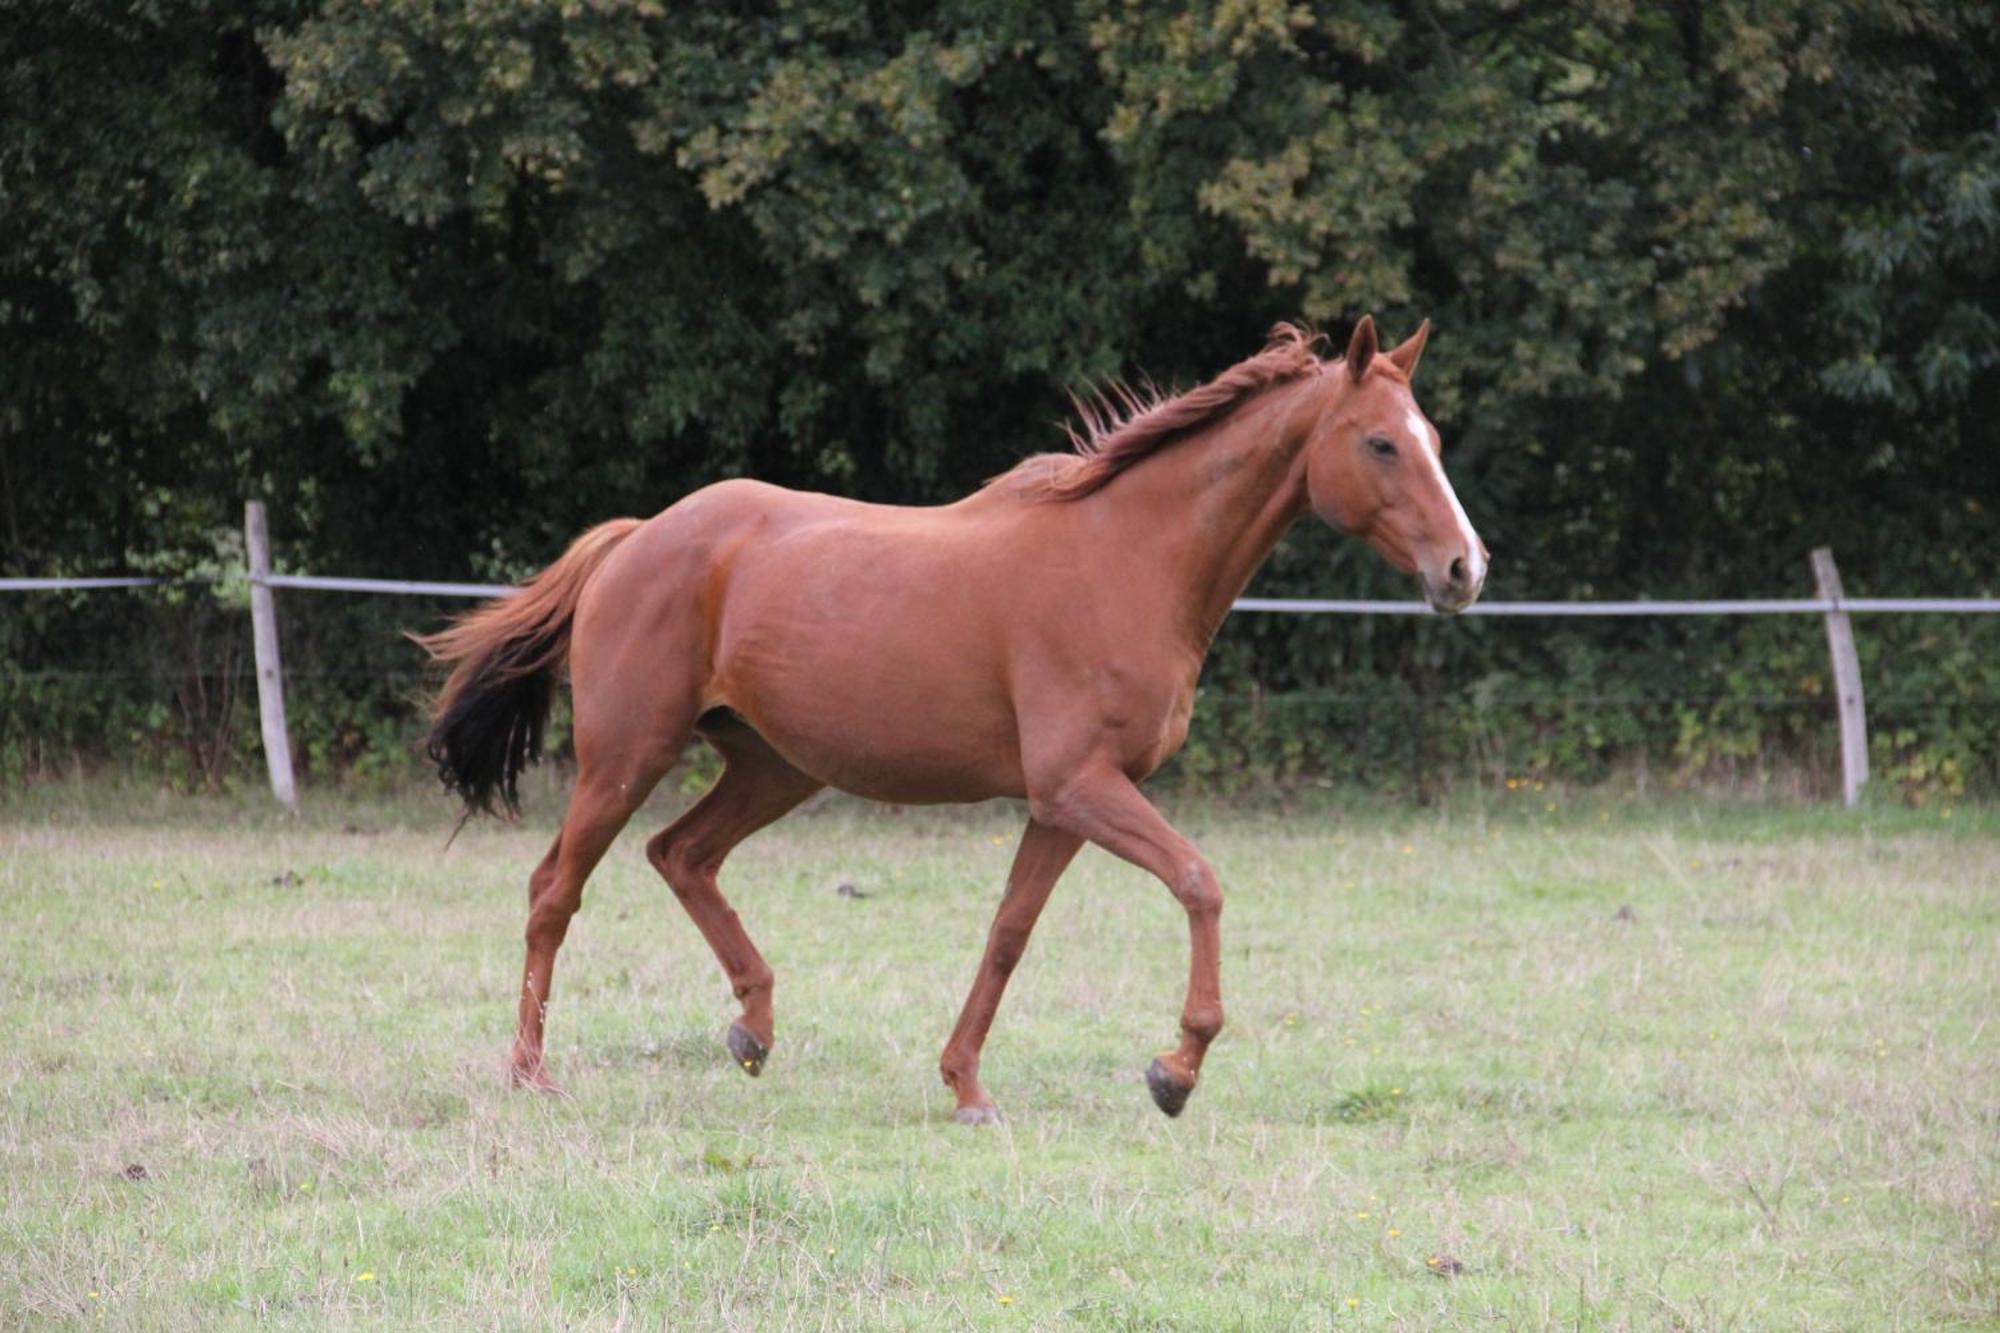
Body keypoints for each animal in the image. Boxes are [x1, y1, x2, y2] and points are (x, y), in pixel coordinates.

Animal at [422, 316, 1488, 1112]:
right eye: (1381, 442)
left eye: (1434, 441)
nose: (1465, 569)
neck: (1130, 559)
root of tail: (638, 536)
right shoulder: (1081, 786)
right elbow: (1199, 881)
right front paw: (1175, 1070)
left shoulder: (1064, 804)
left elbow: (1010, 931)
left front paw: (965, 1083)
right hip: (625, 757)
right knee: (554, 890)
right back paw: (530, 1073)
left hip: (773, 765)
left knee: (681, 854)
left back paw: (752, 1031)